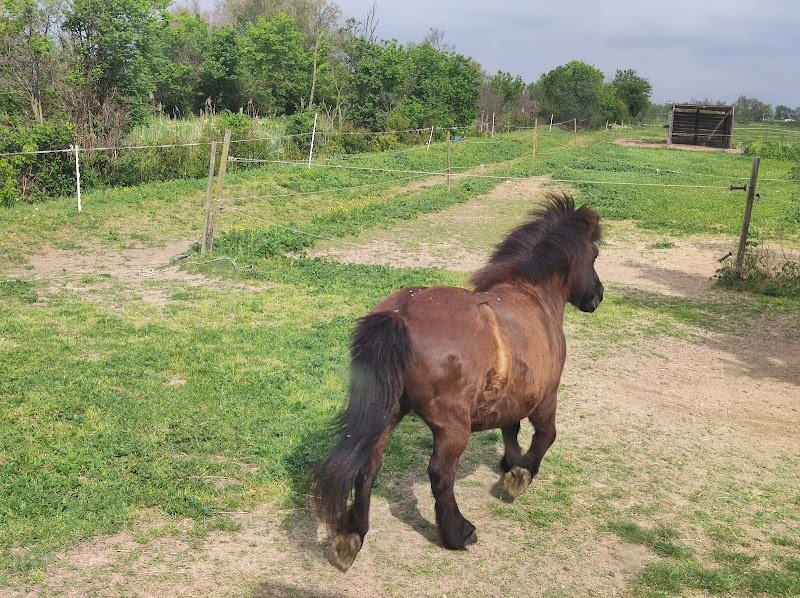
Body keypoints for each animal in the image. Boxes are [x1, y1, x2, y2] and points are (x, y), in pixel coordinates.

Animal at [312, 192, 603, 570]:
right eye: (594, 255)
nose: (598, 295)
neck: (532, 295)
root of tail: (400, 315)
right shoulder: (546, 396)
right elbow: (545, 436)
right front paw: (520, 475)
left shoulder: (511, 396)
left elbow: (510, 429)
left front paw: (510, 464)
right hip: (451, 426)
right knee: (440, 475)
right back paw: (457, 532)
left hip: (388, 412)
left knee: (367, 467)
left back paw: (353, 535)